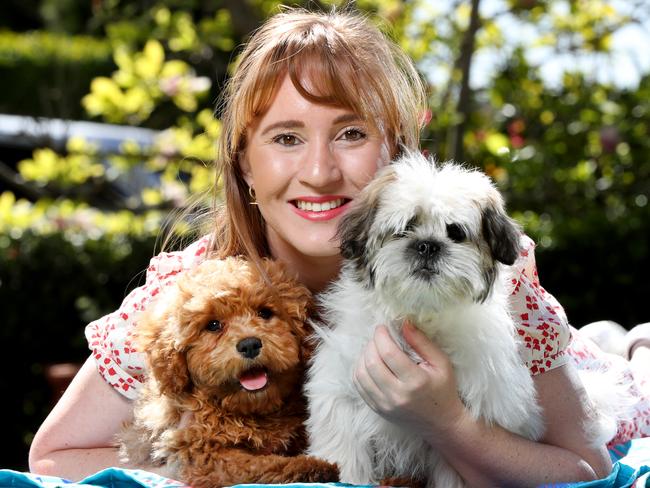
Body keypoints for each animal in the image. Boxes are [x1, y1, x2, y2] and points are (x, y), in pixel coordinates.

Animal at [117, 258, 340, 486]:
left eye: (265, 313)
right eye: (213, 325)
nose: (249, 345)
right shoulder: (205, 455)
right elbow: (258, 466)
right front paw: (309, 467)